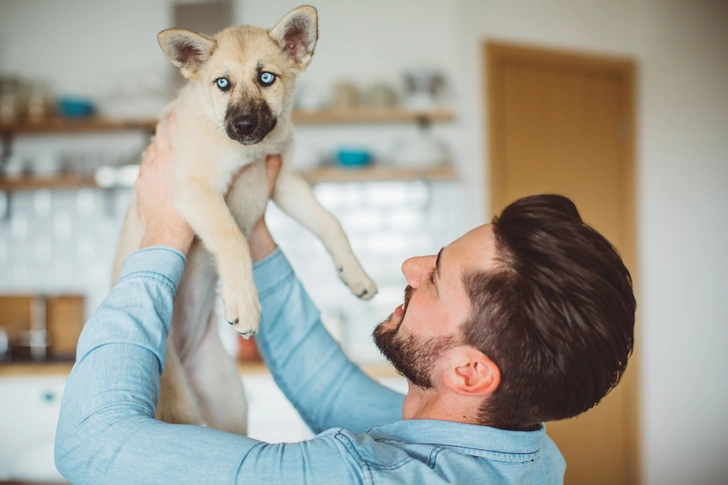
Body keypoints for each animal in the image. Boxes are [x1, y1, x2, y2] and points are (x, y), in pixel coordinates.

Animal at [113, 5, 378, 432]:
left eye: (266, 77)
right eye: (222, 83)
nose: (244, 126)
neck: (246, 152)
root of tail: (184, 352)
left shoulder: (282, 180)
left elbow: (329, 221)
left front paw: (355, 275)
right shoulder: (194, 189)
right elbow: (231, 235)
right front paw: (245, 302)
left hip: (230, 400)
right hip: (179, 404)